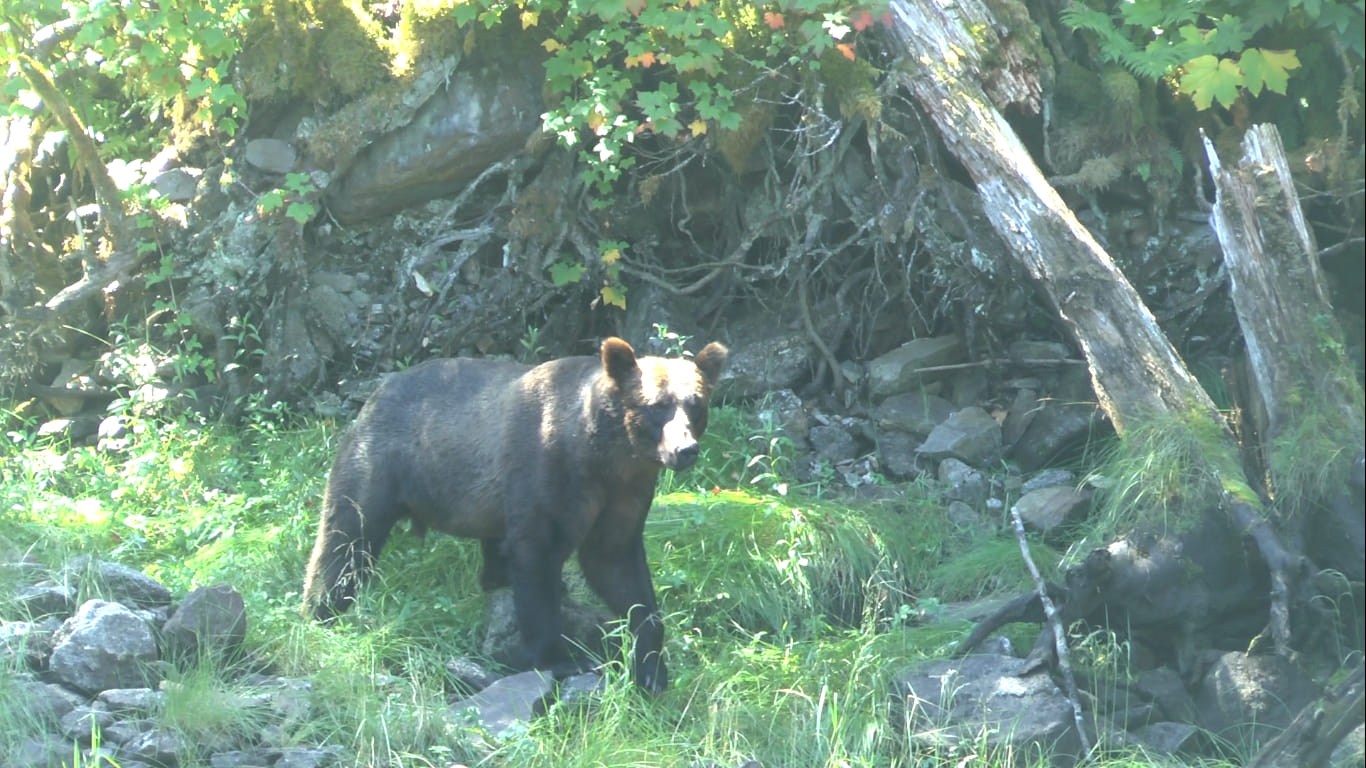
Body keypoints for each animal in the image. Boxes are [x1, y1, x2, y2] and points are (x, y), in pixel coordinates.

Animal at [302, 336, 727, 693]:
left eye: (696, 405)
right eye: (657, 406)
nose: (685, 449)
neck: (605, 455)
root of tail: (377, 393)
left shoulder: (625, 493)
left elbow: (618, 566)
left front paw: (651, 667)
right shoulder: (549, 472)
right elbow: (537, 559)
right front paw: (562, 658)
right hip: (382, 462)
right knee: (345, 539)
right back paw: (321, 610)